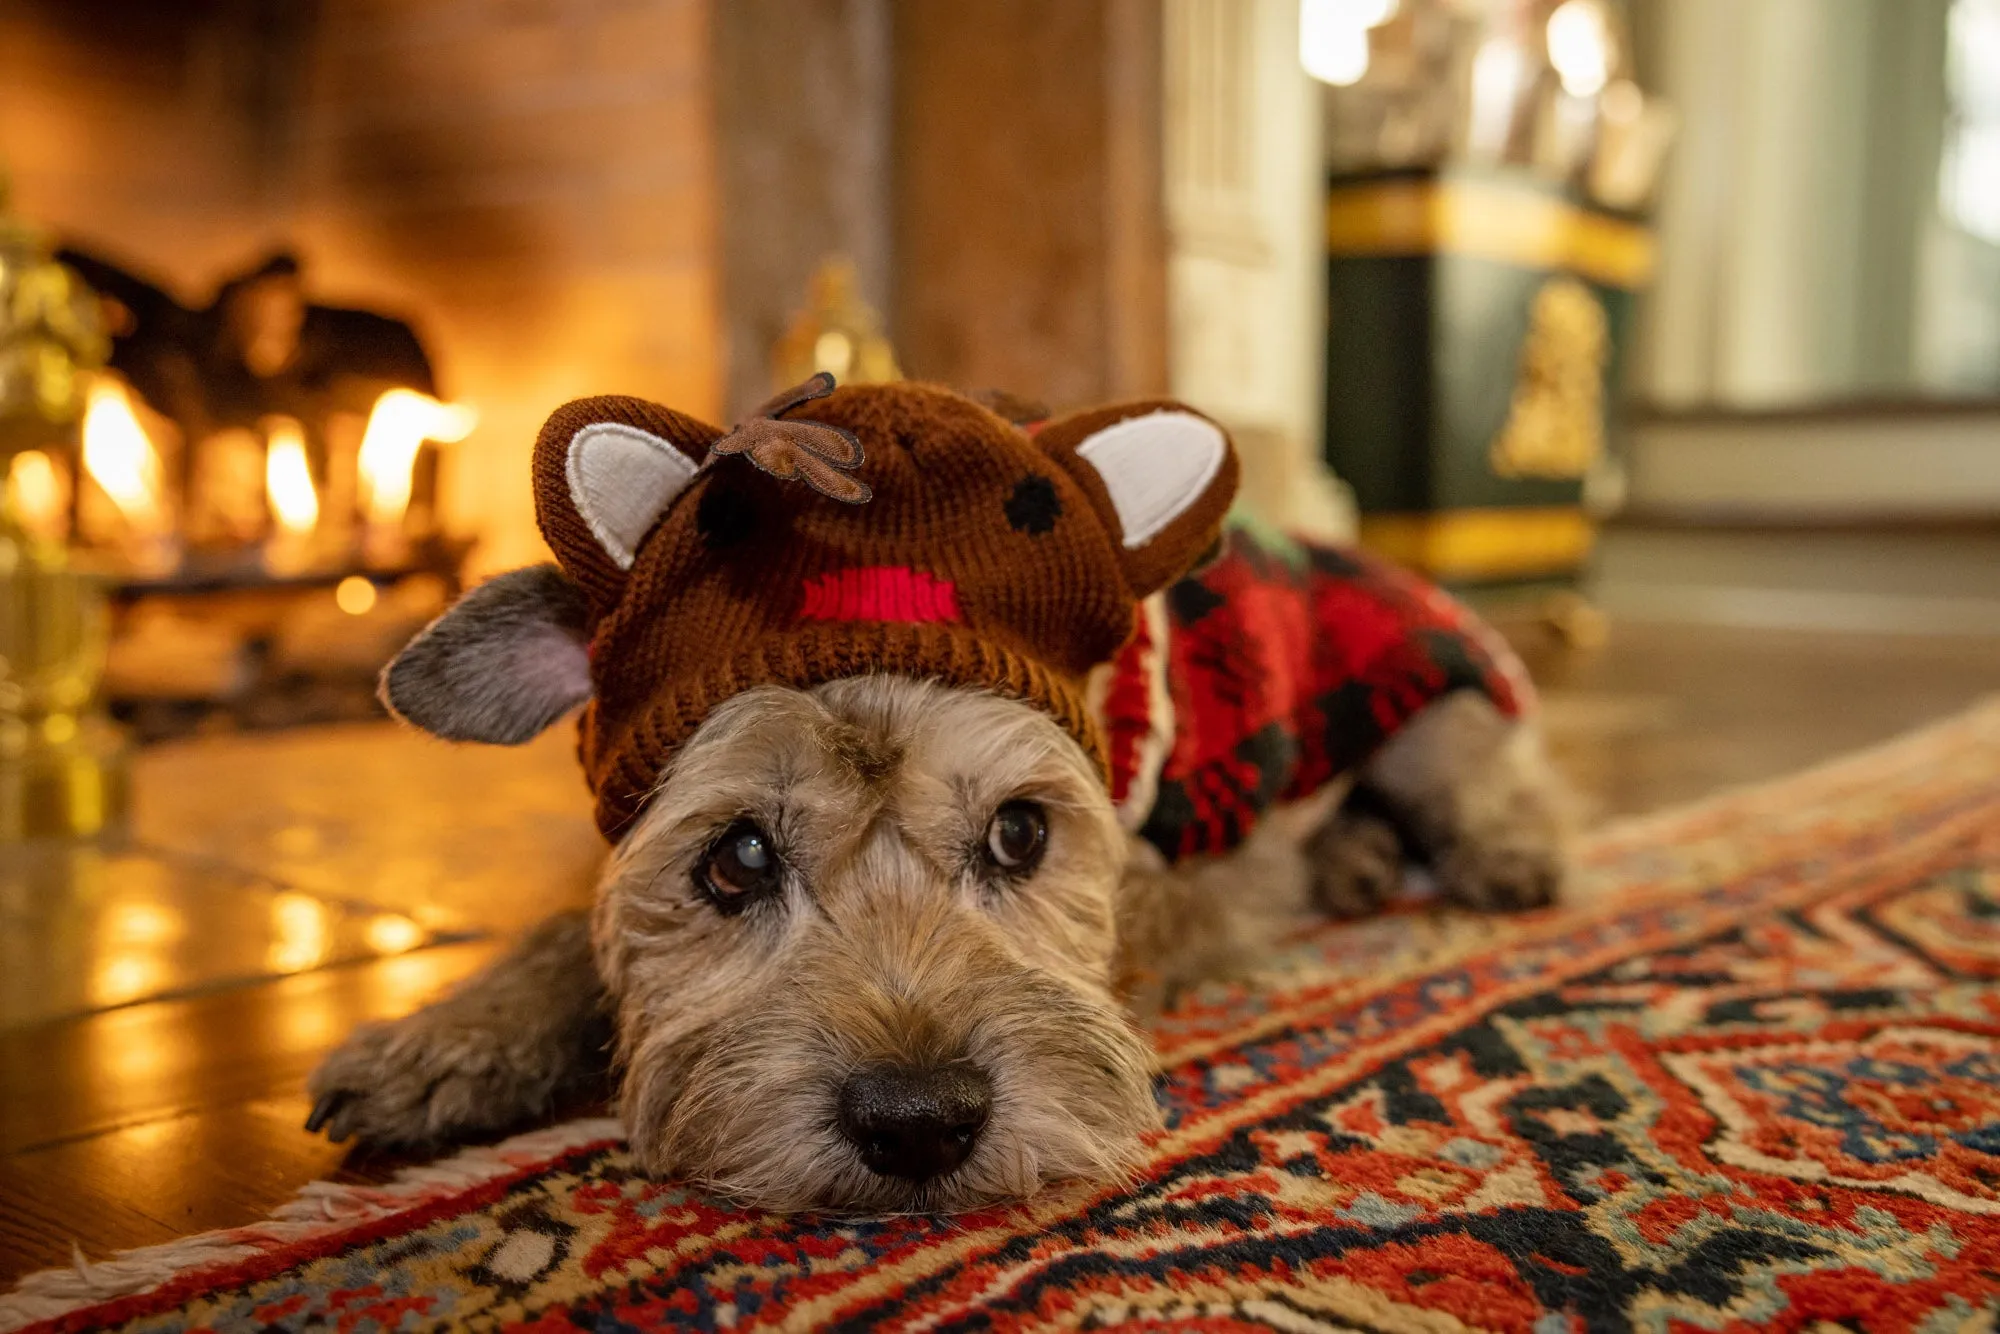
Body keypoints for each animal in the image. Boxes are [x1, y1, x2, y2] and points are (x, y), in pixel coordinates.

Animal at [308, 376, 1560, 1208]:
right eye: (738, 856)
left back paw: (1493, 855)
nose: (917, 1125)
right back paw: (1352, 860)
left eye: (1019, 833)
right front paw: (445, 1040)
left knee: (1477, 791)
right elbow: (567, 930)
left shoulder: (1184, 869)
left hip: (1433, 714)